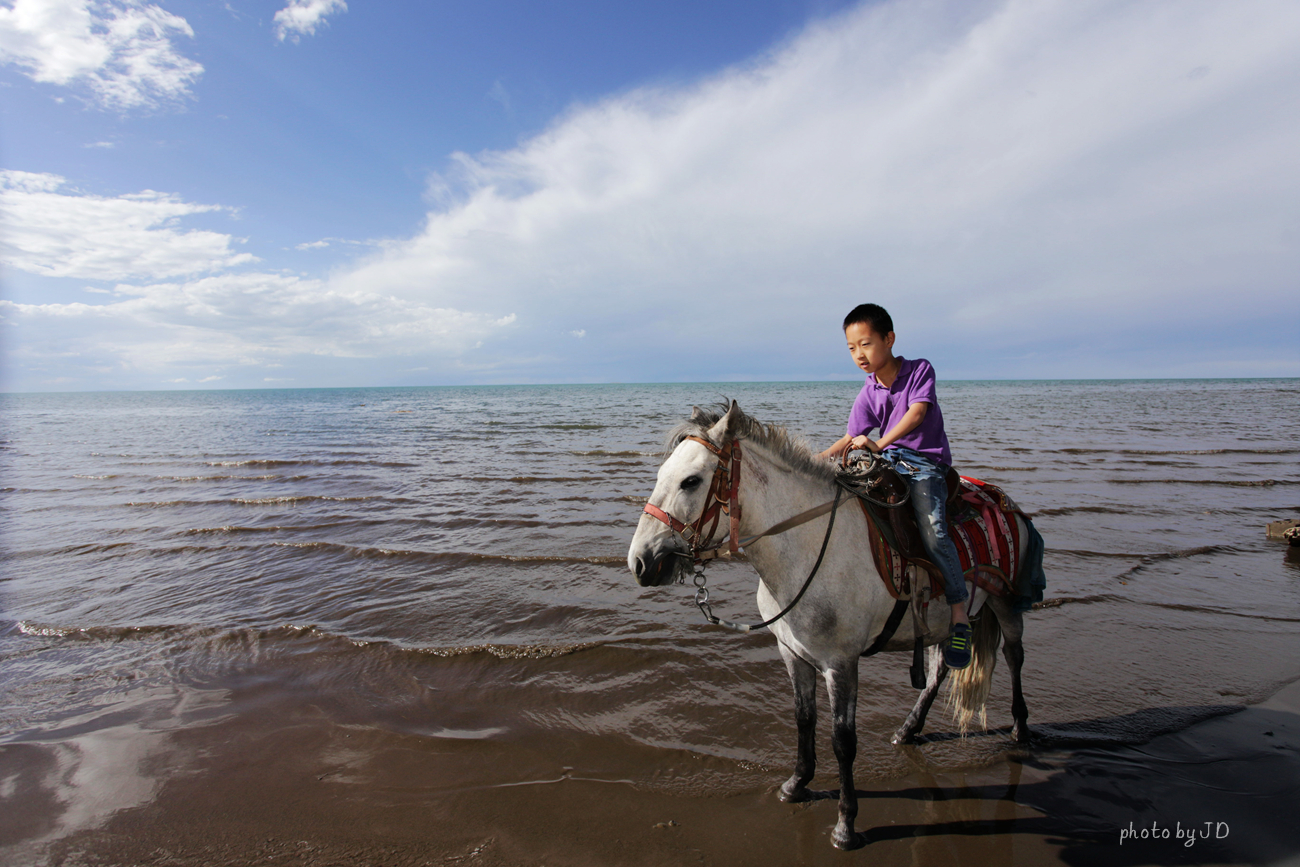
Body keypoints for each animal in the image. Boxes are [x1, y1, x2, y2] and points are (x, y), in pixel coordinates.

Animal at [624, 402, 1029, 852]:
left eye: (691, 480)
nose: (639, 562)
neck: (807, 548)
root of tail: (1003, 500)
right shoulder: (793, 654)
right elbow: (804, 718)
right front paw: (796, 783)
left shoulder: (841, 664)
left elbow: (843, 741)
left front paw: (845, 825)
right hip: (943, 621)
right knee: (940, 669)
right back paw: (909, 729)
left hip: (1005, 603)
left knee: (1014, 655)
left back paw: (1020, 730)